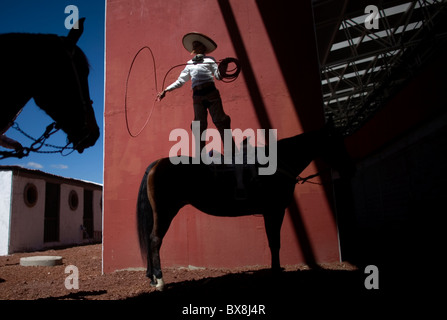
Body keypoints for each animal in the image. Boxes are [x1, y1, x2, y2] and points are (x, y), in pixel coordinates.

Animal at [136, 124, 356, 290]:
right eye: (336, 142)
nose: (349, 167)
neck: (277, 164)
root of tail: (157, 164)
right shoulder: (274, 211)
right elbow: (274, 243)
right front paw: (276, 273)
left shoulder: (271, 212)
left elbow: (273, 242)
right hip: (165, 213)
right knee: (155, 241)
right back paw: (160, 280)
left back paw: (153, 278)